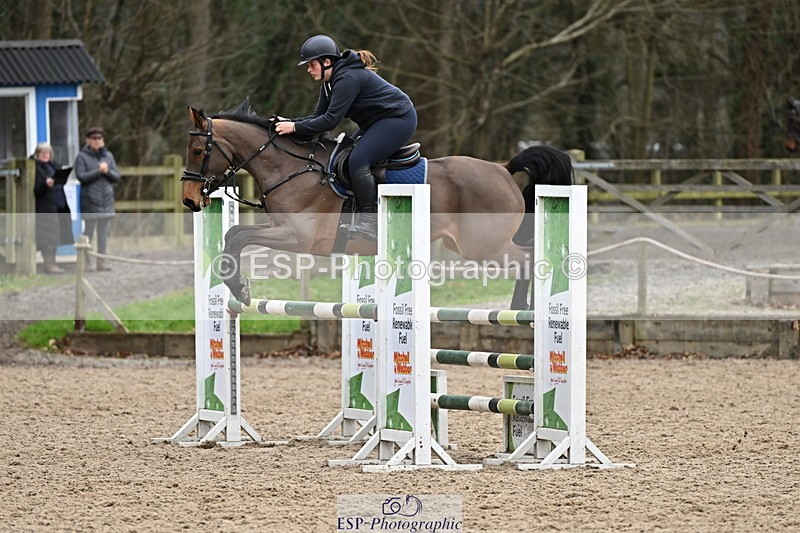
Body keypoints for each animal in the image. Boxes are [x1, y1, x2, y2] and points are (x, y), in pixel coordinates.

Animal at [181, 100, 573, 309]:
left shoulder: (297, 236)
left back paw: (523, 308)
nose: (188, 199)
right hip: (465, 245)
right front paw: (239, 286)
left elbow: (237, 236)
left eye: (199, 150)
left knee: (529, 259)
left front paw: (240, 288)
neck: (291, 167)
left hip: (483, 246)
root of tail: (503, 169)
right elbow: (234, 234)